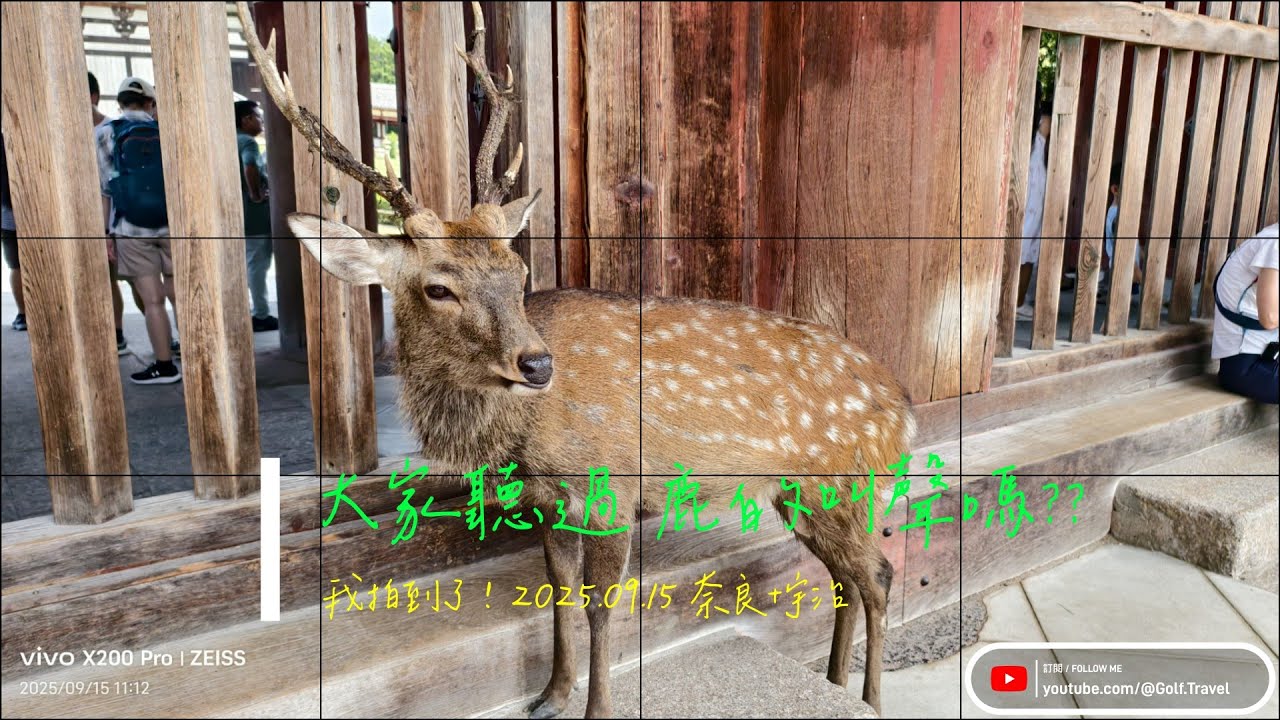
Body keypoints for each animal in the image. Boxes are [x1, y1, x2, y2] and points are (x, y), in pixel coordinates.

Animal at [237, 3, 912, 717]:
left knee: (879, 573)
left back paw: (870, 698)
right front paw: (549, 695)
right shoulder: (549, 503)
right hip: (803, 493)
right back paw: (834, 683)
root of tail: (905, 411)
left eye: (518, 270)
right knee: (845, 579)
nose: (537, 365)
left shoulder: (612, 488)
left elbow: (600, 607)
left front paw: (595, 707)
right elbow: (557, 591)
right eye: (438, 287)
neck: (525, 441)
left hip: (843, 483)